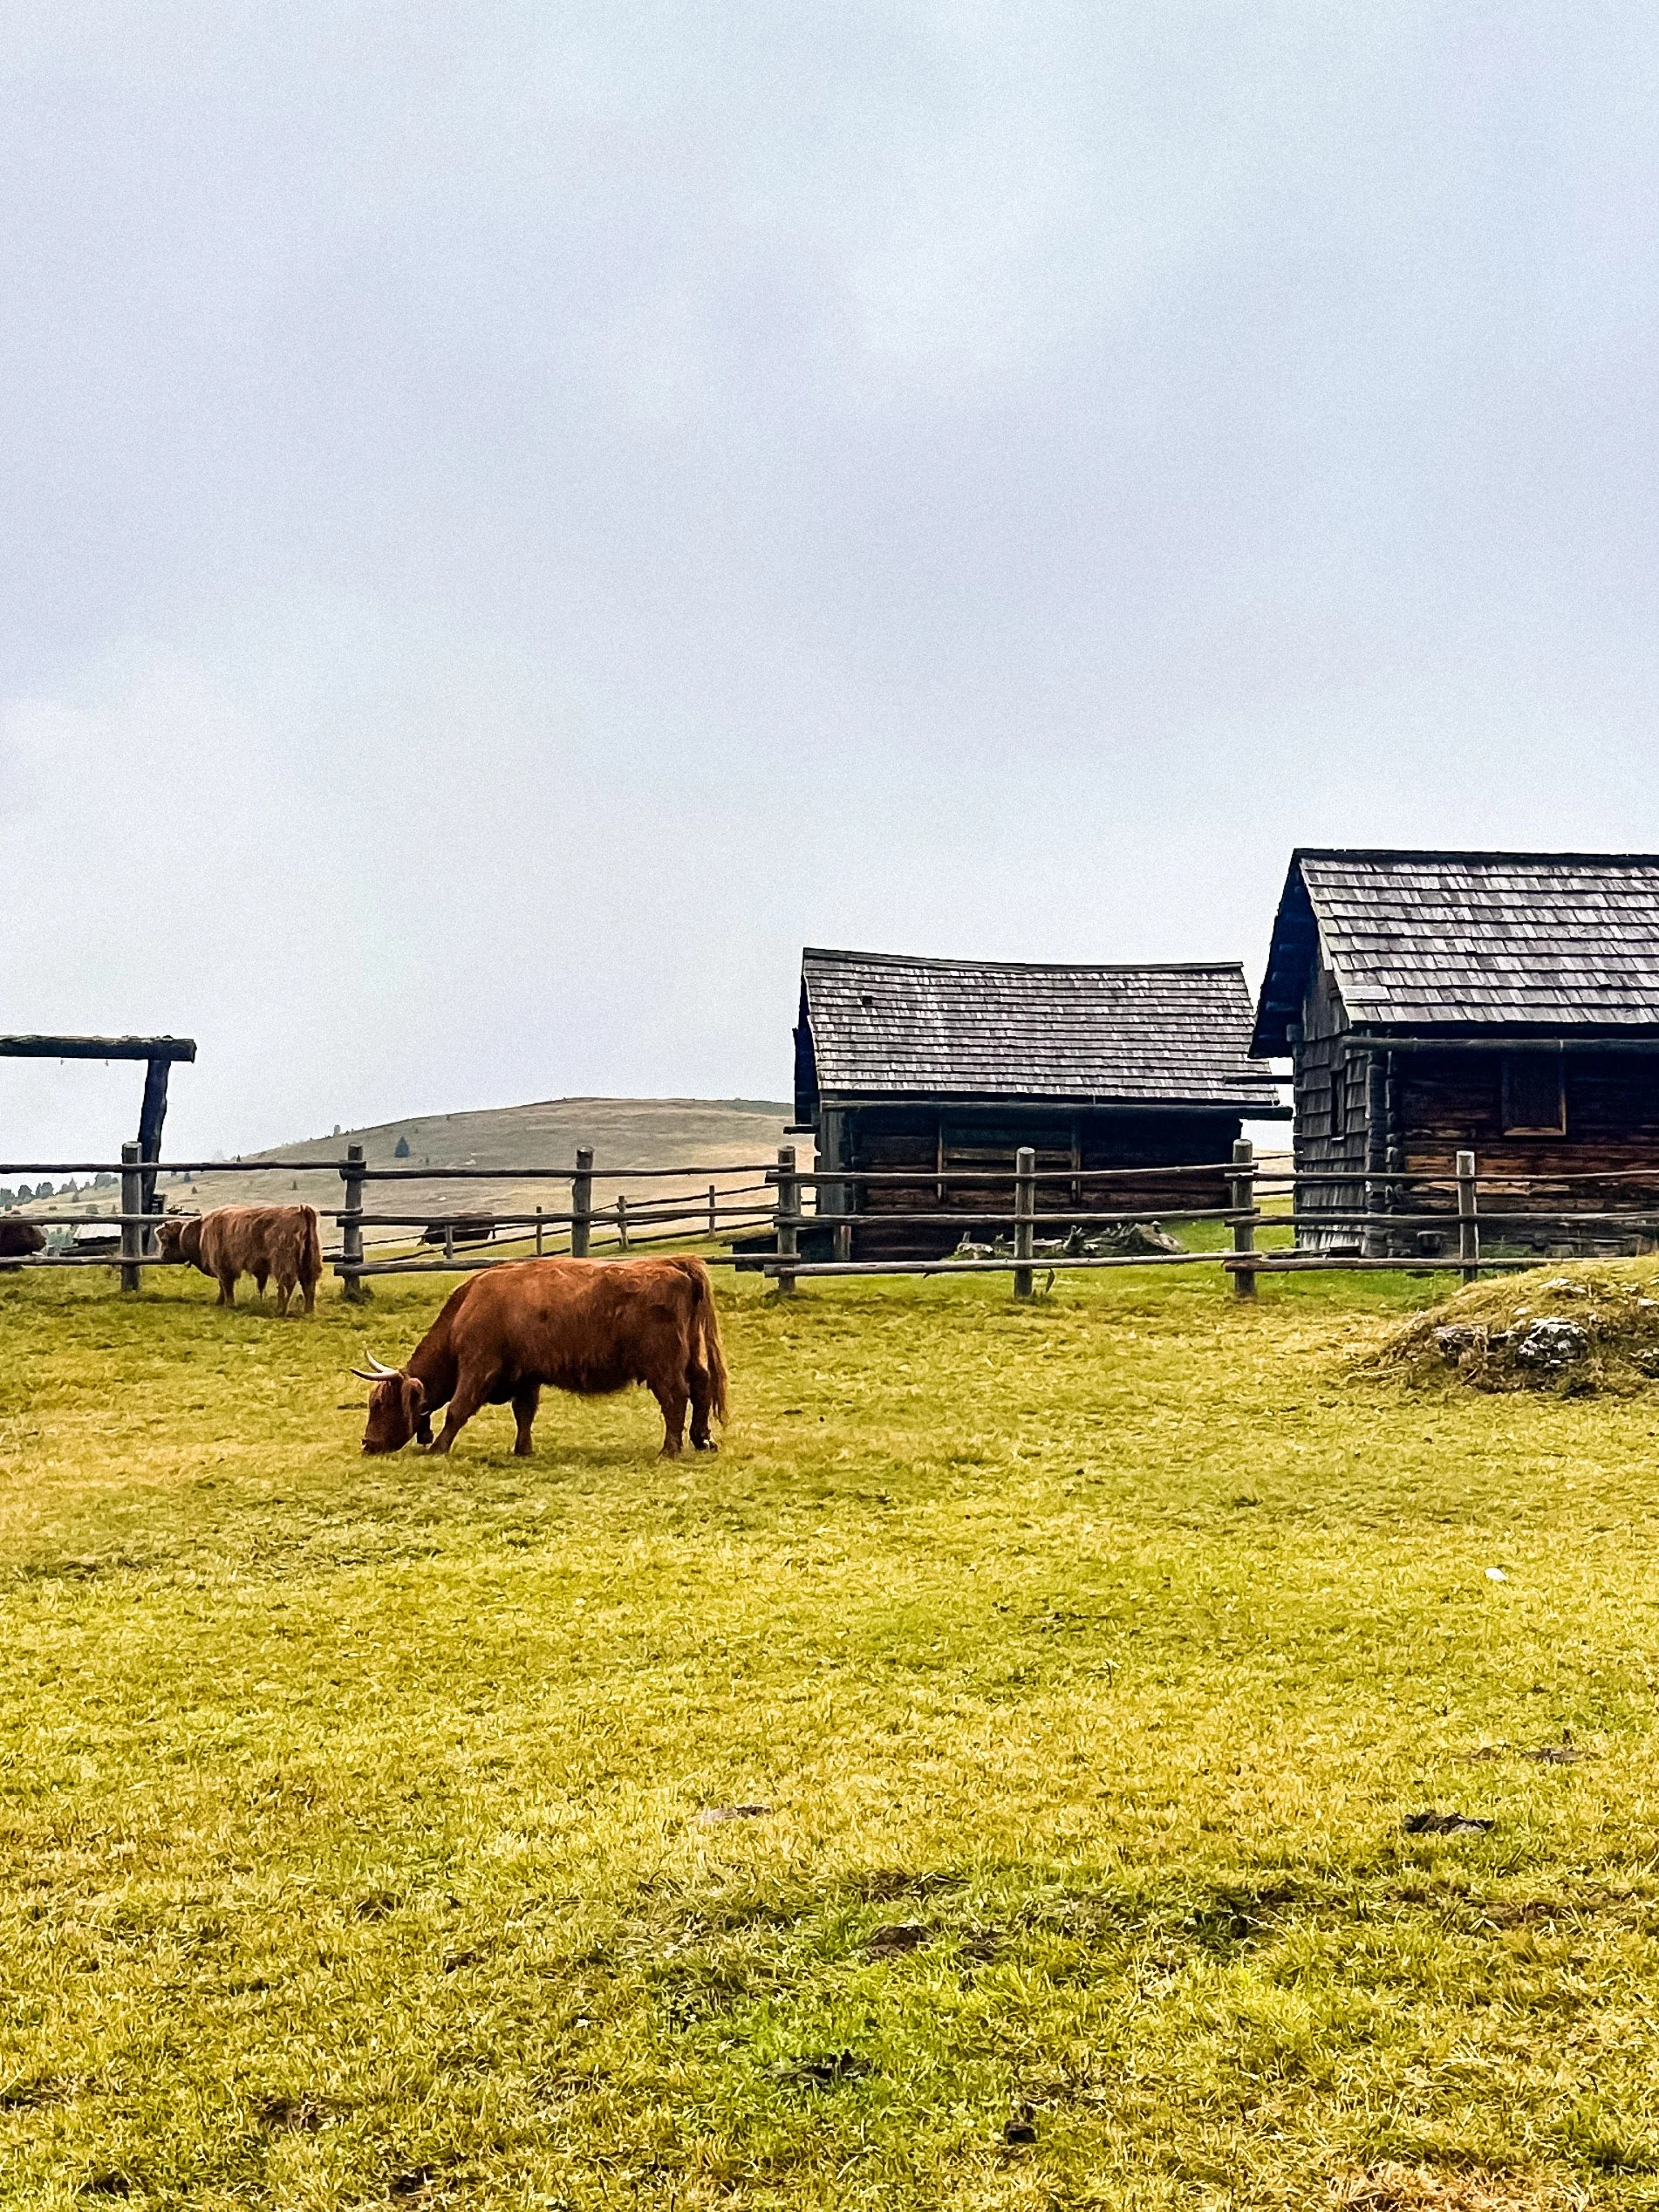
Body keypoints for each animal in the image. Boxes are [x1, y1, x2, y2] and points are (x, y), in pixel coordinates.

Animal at [156, 1205, 324, 1314]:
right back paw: (308, 1311)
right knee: (309, 1285)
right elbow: (222, 1286)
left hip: (283, 1263)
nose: (162, 1254)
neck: (200, 1232)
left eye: (164, 1239)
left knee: (287, 1285)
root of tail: (301, 1210)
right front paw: (219, 1302)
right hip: (309, 1262)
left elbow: (226, 1286)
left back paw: (280, 1310)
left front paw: (229, 1304)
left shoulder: (223, 1267)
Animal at [353, 1254, 728, 1459]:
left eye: (381, 1404)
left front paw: (438, 1448)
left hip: (662, 1364)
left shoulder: (478, 1367)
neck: (467, 1308)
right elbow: (524, 1413)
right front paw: (523, 1449)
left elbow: (458, 1409)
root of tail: (673, 1263)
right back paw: (702, 1439)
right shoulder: (525, 1376)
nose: (368, 1442)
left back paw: (670, 1449)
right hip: (687, 1356)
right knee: (701, 1385)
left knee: (675, 1397)